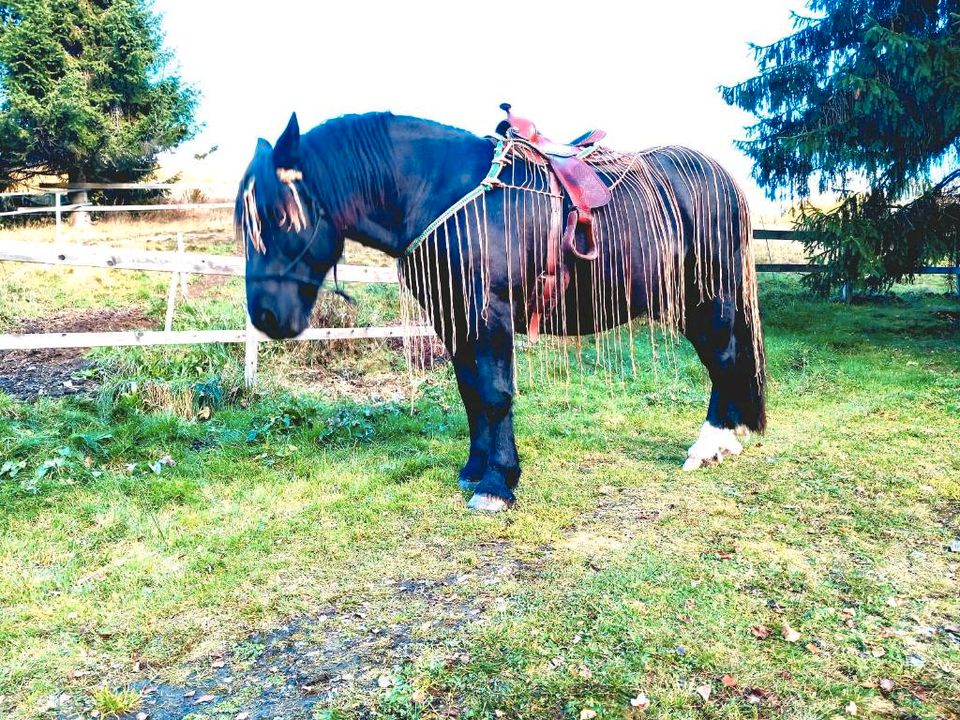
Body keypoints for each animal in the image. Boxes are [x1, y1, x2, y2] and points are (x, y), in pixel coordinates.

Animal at [238, 109, 764, 512]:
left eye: (281, 215)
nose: (265, 316)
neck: (442, 192)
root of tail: (721, 177)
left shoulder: (488, 314)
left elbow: (495, 395)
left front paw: (498, 484)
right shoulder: (453, 318)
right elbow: (471, 393)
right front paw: (475, 469)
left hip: (709, 298)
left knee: (723, 358)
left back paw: (709, 444)